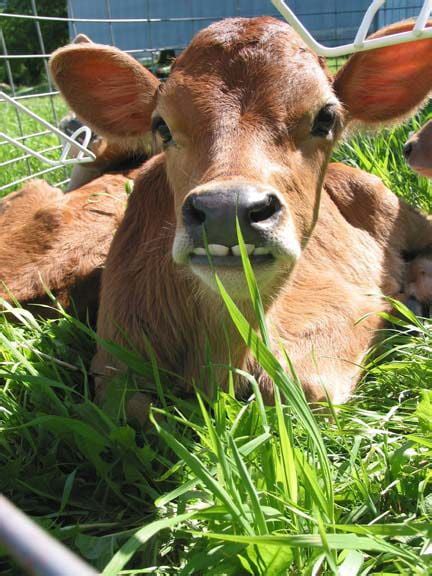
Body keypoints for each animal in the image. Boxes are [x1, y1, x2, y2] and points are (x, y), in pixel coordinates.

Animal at [50, 18, 432, 404]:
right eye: (162, 126)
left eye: (325, 118)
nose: (226, 210)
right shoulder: (113, 364)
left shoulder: (339, 316)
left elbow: (304, 387)